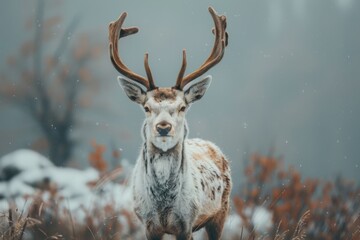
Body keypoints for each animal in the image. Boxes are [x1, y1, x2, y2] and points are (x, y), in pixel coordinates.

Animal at [109, 6, 231, 239]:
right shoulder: (149, 225)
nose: (163, 127)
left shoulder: (186, 223)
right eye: (146, 107)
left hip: (221, 212)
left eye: (182, 107)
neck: (163, 207)